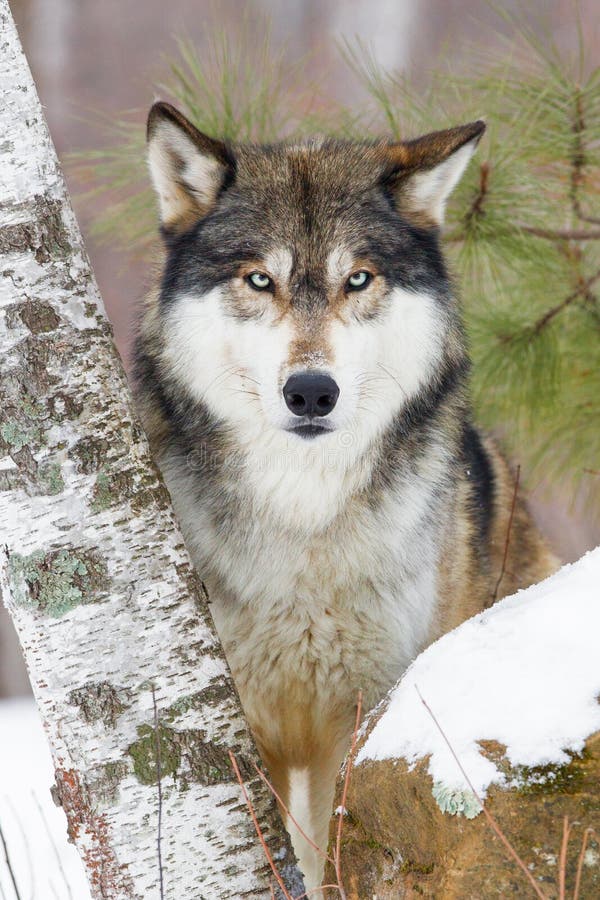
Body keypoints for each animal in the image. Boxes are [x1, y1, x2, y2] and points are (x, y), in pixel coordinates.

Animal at [135, 102, 556, 888]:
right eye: (259, 280)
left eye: (357, 278)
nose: (310, 392)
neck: (303, 517)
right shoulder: (251, 728)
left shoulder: (359, 723)